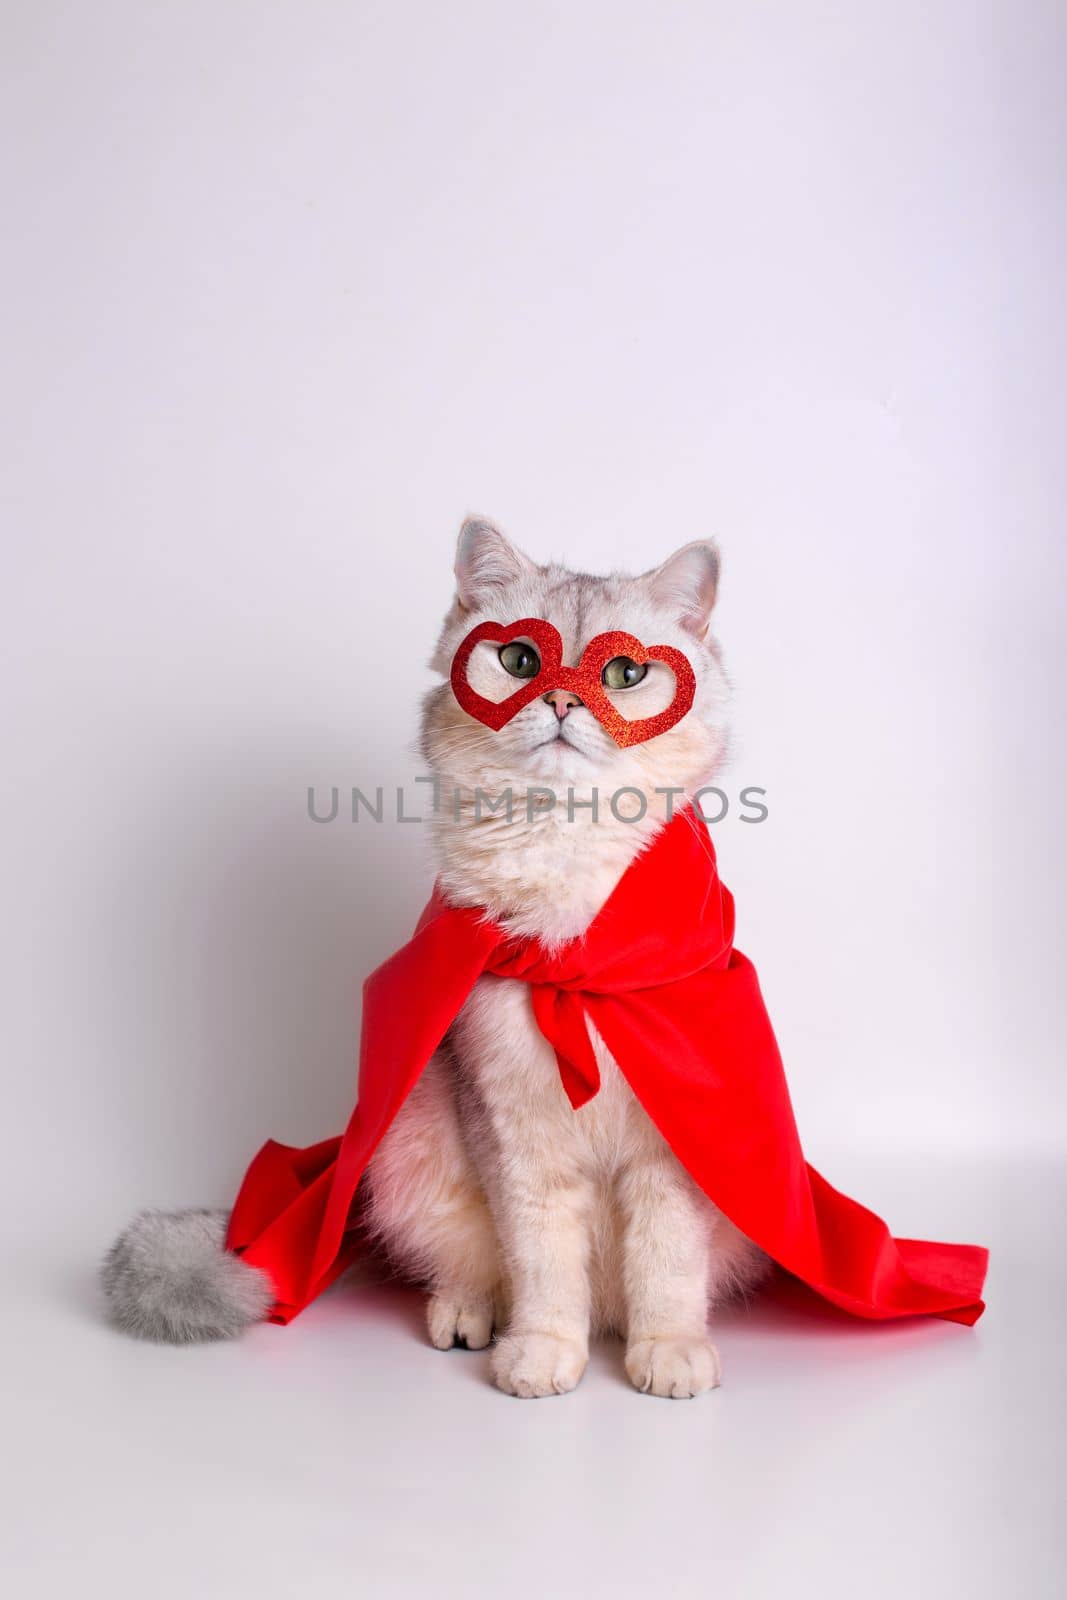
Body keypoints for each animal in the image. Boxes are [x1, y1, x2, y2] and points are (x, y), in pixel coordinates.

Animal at [102, 518, 767, 1395]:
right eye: (518, 660)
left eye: (624, 673)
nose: (560, 701)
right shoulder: (510, 1134)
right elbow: (540, 1264)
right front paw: (542, 1352)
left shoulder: (678, 1139)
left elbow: (667, 1262)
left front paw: (668, 1350)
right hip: (410, 1143)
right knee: (472, 1266)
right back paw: (468, 1317)